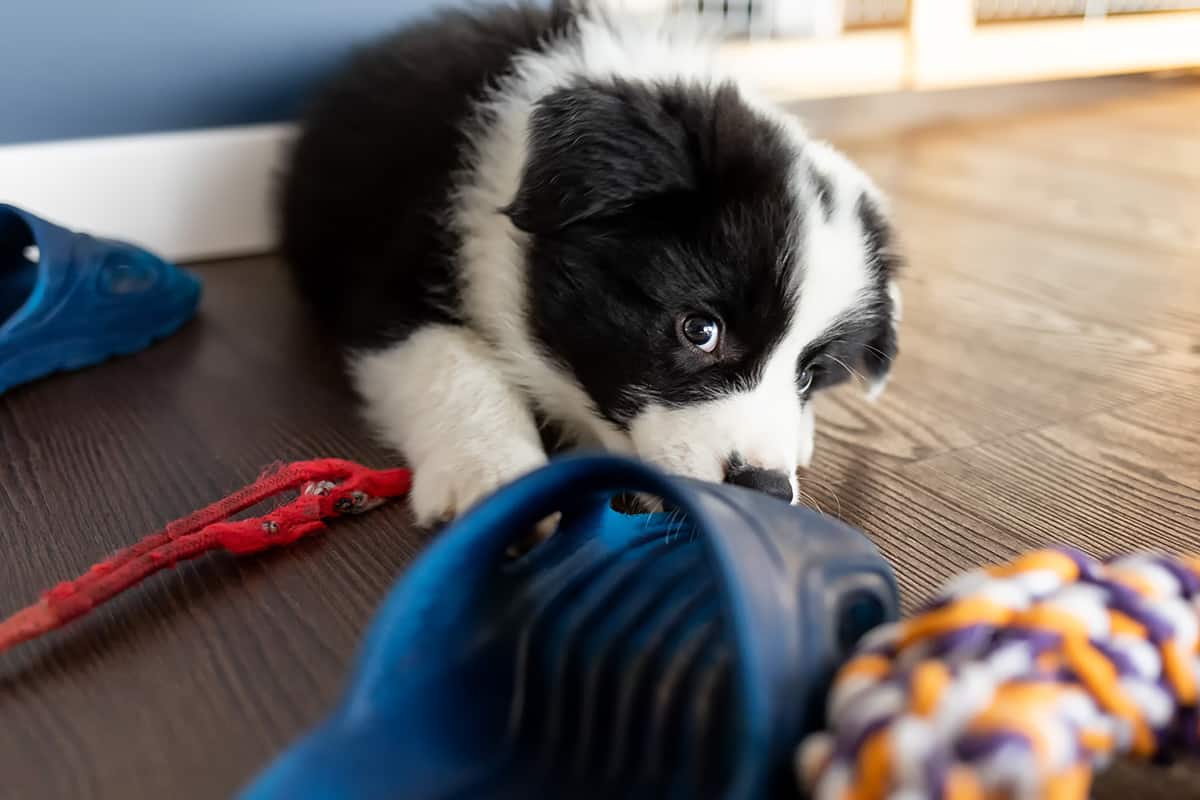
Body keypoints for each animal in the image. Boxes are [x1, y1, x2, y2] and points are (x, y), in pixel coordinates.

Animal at [283, 3, 902, 527]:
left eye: (809, 374)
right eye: (700, 330)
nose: (764, 490)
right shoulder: (392, 282)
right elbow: (454, 362)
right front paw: (493, 475)